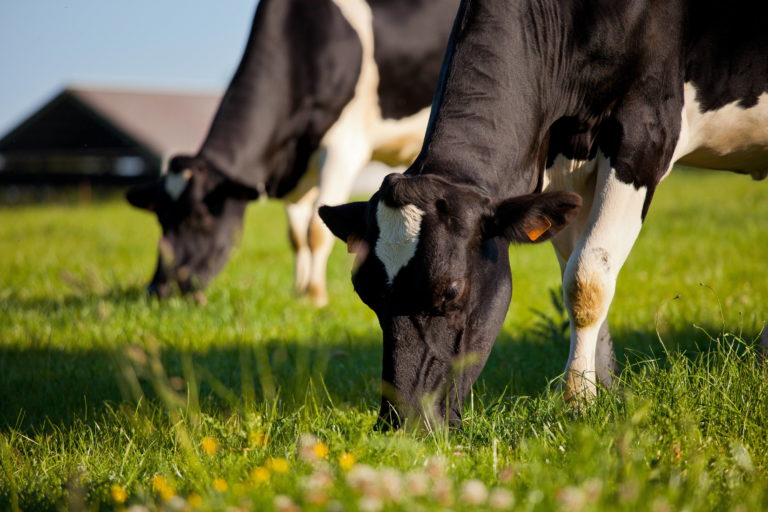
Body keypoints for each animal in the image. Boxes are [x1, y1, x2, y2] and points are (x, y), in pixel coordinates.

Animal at [125, 0, 456, 304]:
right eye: (160, 217)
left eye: (201, 217)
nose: (158, 289)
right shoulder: (294, 166)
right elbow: (296, 236)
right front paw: (299, 292)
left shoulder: (343, 148)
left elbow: (316, 231)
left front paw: (316, 296)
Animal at [320, 0, 768, 428]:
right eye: (365, 293)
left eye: (451, 290)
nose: (399, 422)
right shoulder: (559, 157)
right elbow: (576, 270)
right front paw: (604, 389)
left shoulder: (645, 134)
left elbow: (586, 279)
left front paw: (577, 400)